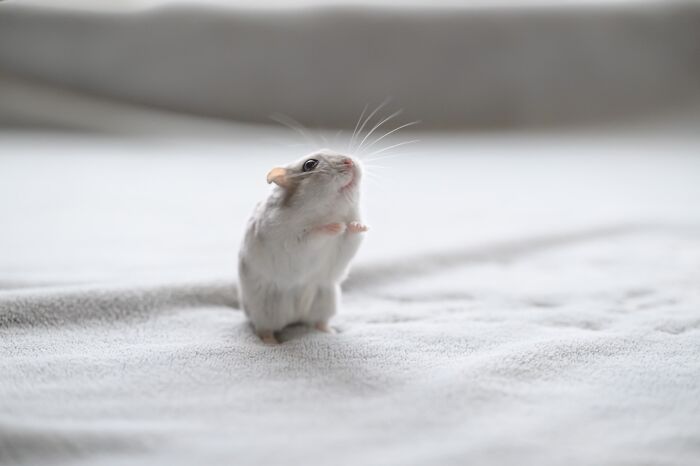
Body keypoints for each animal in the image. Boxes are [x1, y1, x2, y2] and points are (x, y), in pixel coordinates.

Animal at [238, 149, 368, 344]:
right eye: (309, 164)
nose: (350, 161)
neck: (330, 210)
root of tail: (295, 317)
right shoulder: (290, 240)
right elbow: (314, 234)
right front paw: (336, 226)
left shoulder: (347, 242)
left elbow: (352, 234)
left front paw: (358, 226)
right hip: (264, 311)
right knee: (264, 329)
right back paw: (272, 343)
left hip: (325, 301)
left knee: (317, 322)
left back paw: (329, 332)